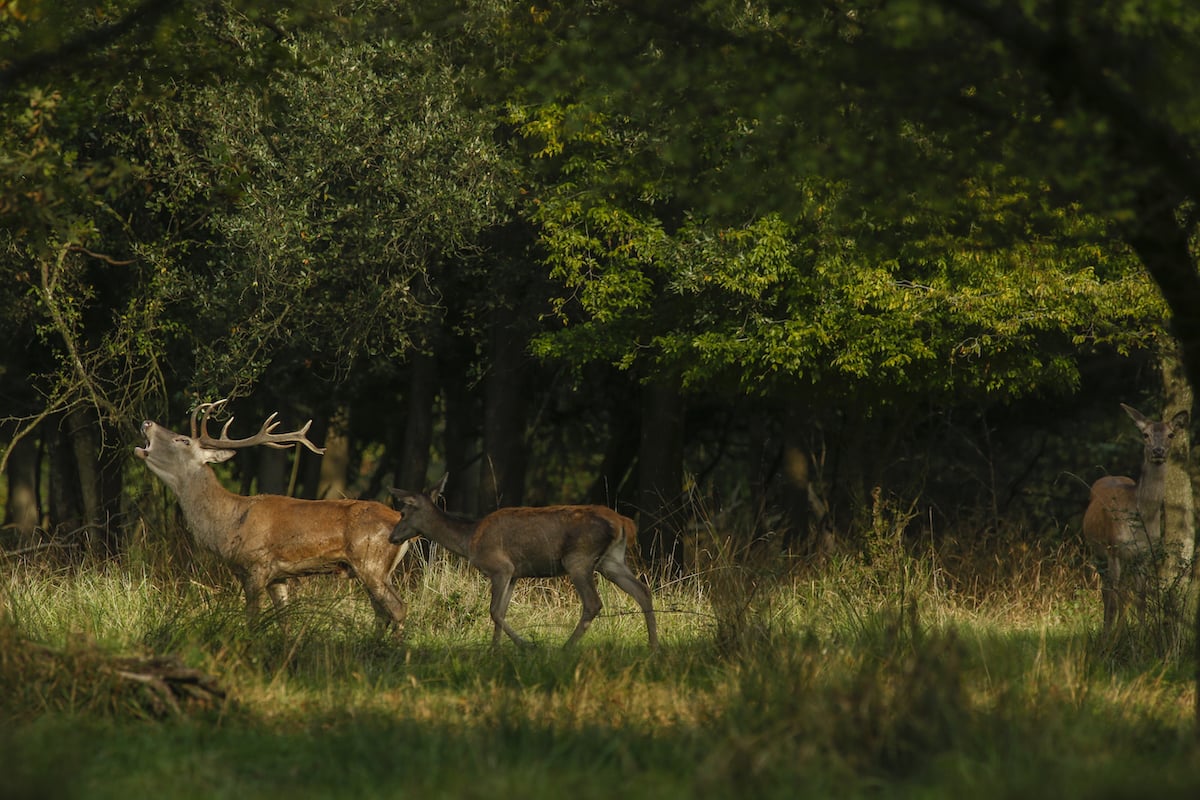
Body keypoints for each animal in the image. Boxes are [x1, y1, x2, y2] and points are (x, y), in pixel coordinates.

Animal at [135, 400, 408, 633]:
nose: (147, 422)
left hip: (370, 561)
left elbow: (253, 619)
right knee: (381, 612)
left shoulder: (256, 564)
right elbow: (284, 619)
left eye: (183, 440)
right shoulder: (279, 576)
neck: (228, 522)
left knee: (397, 608)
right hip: (375, 569)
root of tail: (398, 518)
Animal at [391, 482, 657, 652]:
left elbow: (494, 611)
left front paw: (525, 645)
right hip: (611, 560)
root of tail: (623, 522)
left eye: (402, 512)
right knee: (642, 590)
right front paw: (494, 650)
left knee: (593, 603)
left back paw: (566, 648)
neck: (469, 540)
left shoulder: (501, 567)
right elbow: (501, 611)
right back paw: (654, 646)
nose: (392, 537)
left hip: (579, 559)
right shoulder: (515, 575)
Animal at [1080, 407, 1190, 638]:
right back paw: (1108, 629)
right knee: (1108, 591)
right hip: (1097, 551)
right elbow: (1113, 599)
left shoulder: (1145, 555)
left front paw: (1141, 637)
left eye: (1171, 435)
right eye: (1145, 434)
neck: (1141, 517)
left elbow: (1141, 600)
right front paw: (1109, 638)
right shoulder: (1113, 548)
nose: (1158, 451)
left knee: (1121, 592)